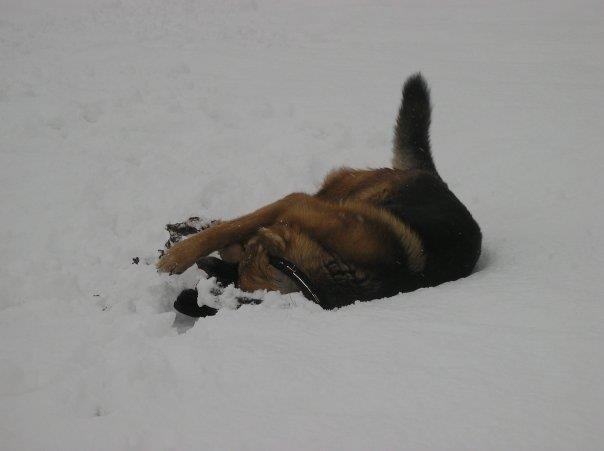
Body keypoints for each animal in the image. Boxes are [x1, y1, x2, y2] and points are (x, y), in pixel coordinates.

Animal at [159, 74, 482, 318]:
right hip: (342, 189)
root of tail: (433, 176)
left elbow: (236, 235)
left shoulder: (294, 206)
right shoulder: (295, 203)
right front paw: (178, 256)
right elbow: (231, 228)